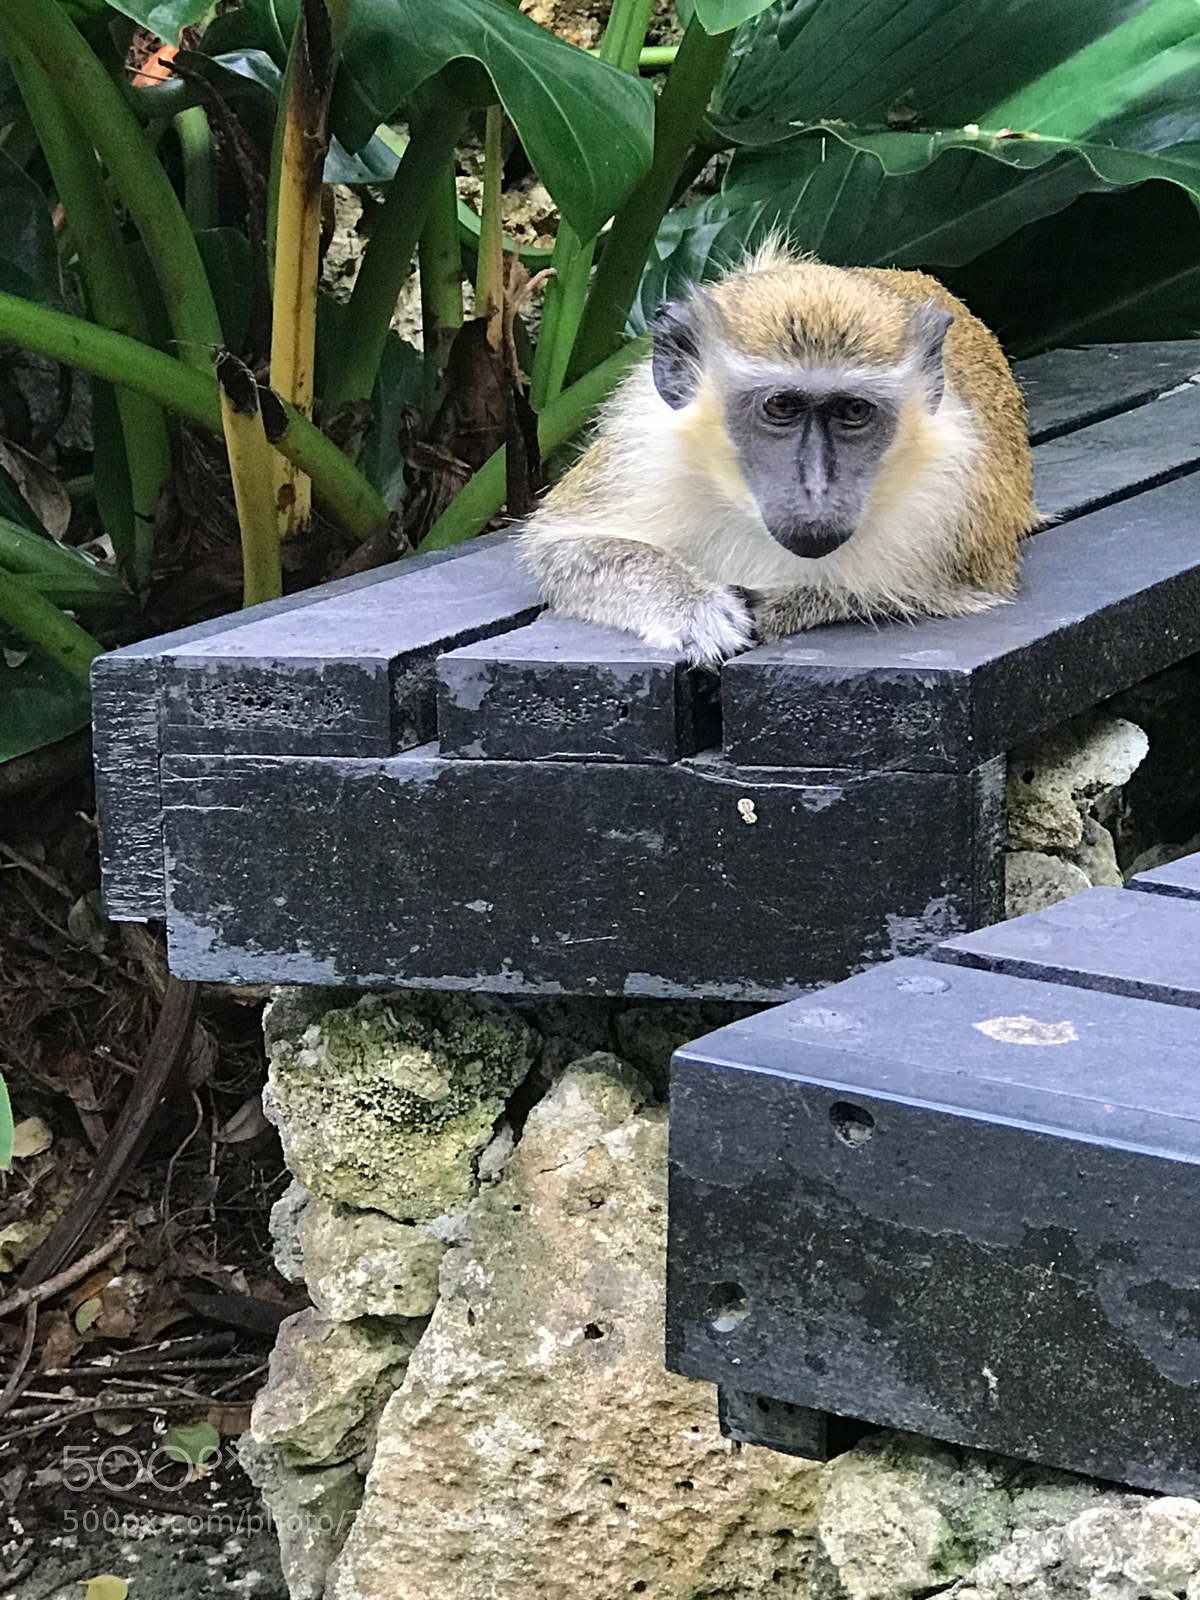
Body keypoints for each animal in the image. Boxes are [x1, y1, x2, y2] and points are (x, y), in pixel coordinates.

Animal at [518, 243, 1038, 667]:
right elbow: (557, 549)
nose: (815, 488)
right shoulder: (641, 447)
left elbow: (918, 591)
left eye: (853, 410)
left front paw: (785, 604)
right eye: (781, 406)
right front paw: (692, 605)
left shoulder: (953, 499)